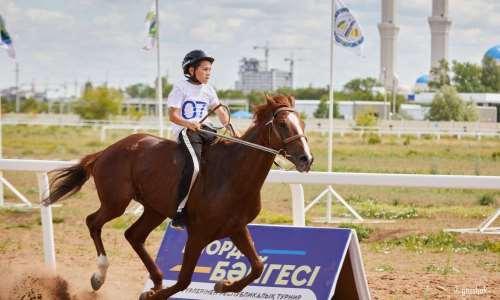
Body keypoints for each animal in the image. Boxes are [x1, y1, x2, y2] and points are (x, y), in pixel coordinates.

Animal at [45, 95, 314, 298]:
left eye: (301, 122)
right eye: (282, 124)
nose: (306, 159)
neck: (232, 173)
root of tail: (106, 151)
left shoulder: (236, 228)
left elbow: (258, 266)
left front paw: (224, 285)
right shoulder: (198, 234)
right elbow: (184, 280)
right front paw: (151, 295)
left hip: (154, 209)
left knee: (133, 235)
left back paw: (156, 279)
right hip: (116, 203)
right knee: (93, 222)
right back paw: (100, 275)